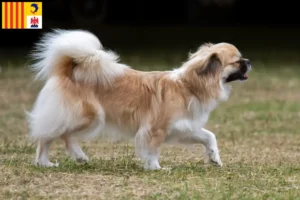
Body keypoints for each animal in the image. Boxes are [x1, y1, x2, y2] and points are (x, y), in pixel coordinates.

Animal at [27, 29, 251, 170]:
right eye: (237, 61)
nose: (248, 61)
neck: (188, 86)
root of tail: (67, 69)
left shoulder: (185, 127)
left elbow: (209, 137)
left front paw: (214, 159)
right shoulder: (155, 129)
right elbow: (152, 150)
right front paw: (156, 168)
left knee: (59, 136)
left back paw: (62, 160)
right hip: (89, 117)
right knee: (53, 136)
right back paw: (53, 160)